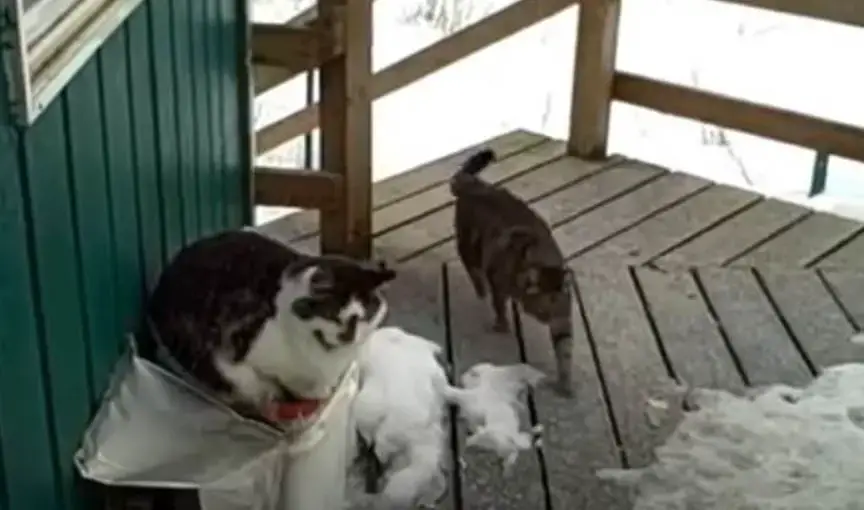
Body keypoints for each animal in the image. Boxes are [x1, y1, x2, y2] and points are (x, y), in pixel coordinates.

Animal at [452, 149, 572, 396]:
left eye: (557, 304)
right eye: (543, 306)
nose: (548, 318)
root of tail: (475, 184)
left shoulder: (563, 321)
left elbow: (565, 352)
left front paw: (566, 383)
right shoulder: (497, 280)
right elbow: (499, 306)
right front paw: (502, 324)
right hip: (469, 246)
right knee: (473, 270)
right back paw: (480, 290)